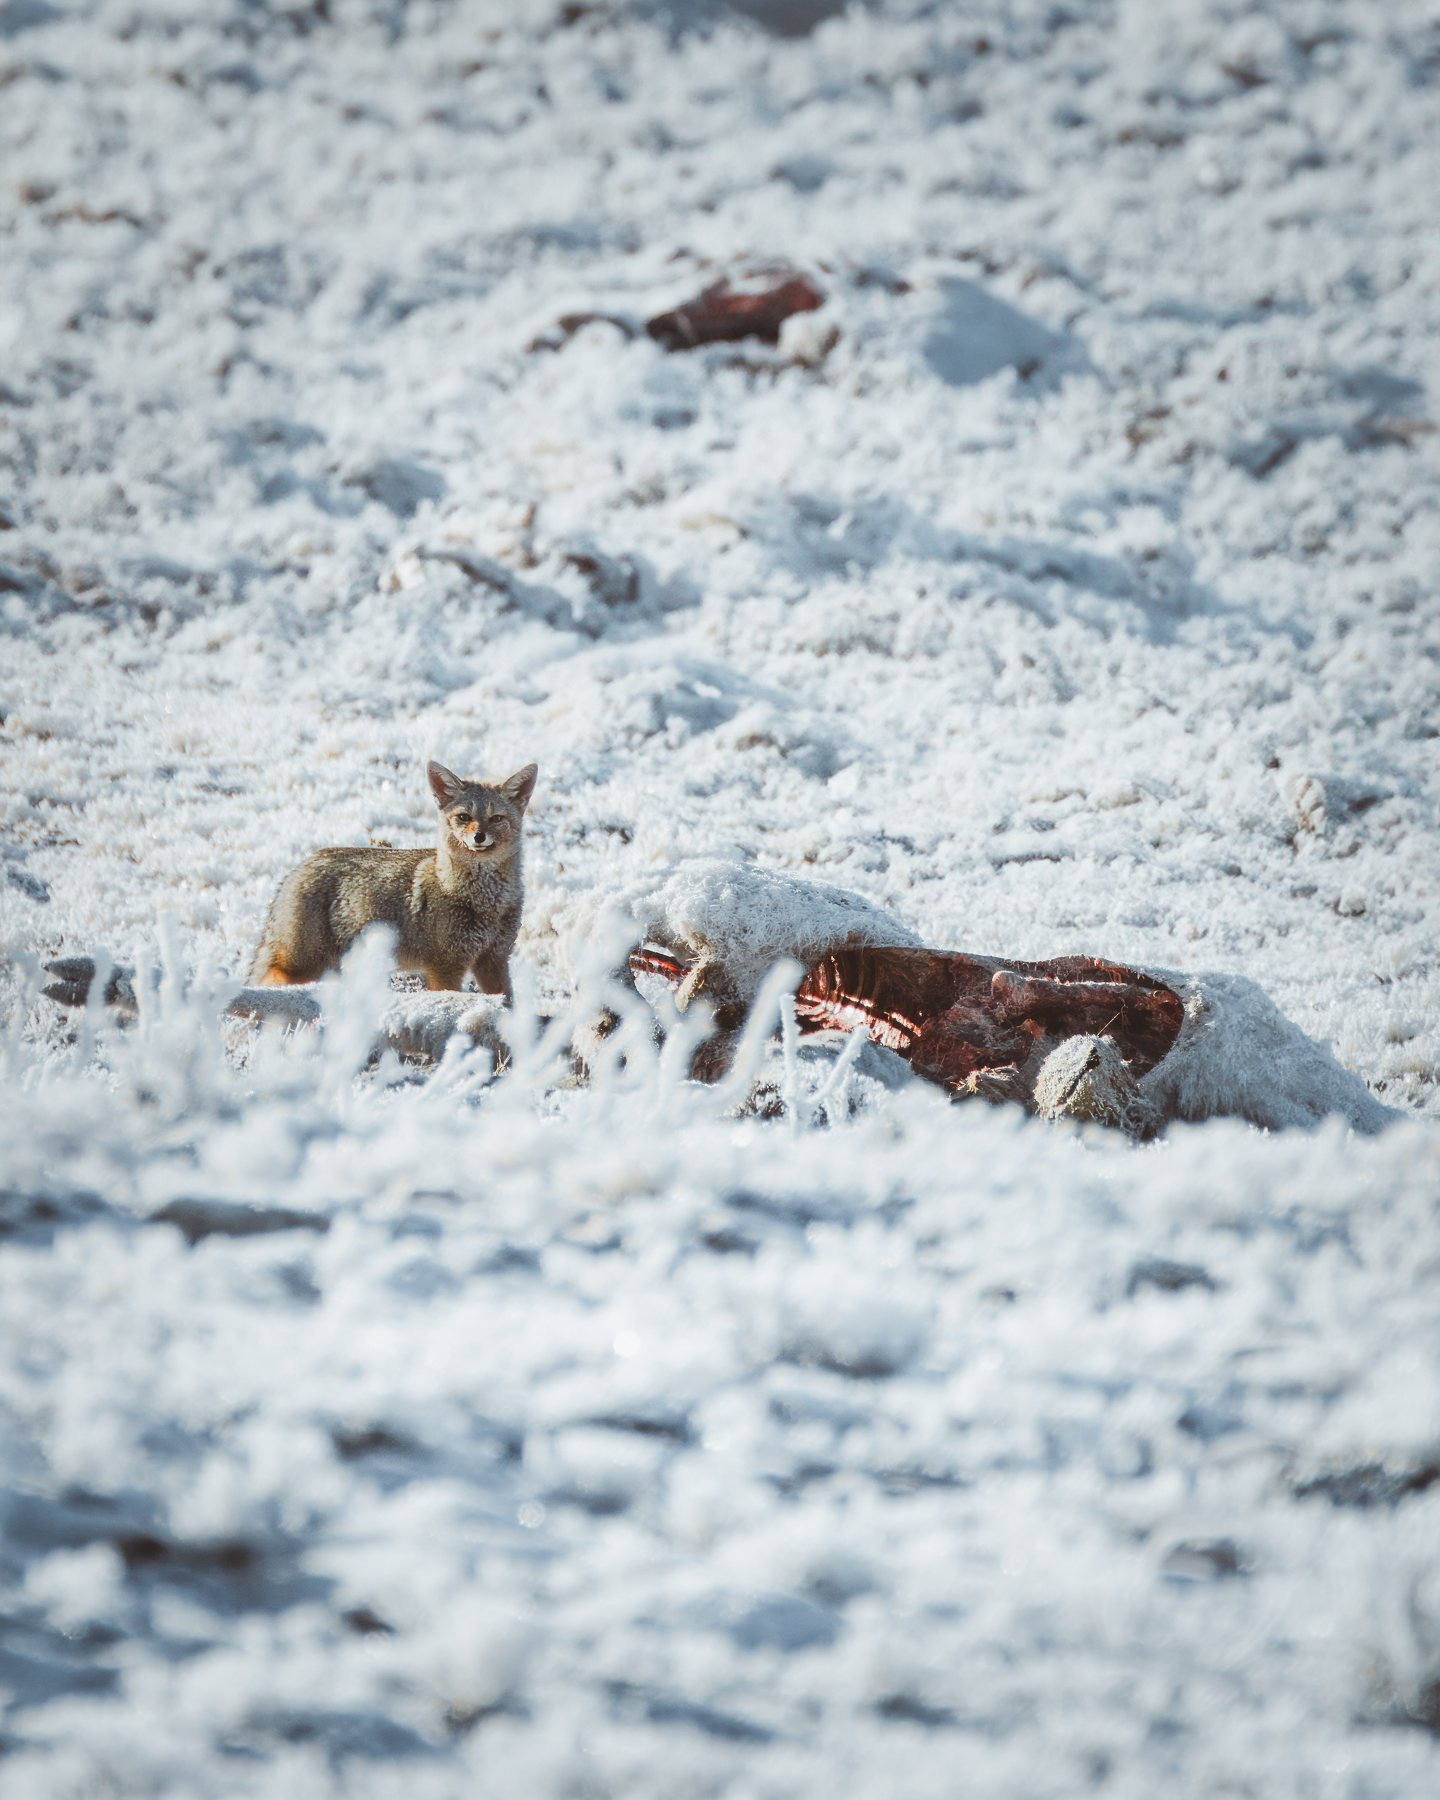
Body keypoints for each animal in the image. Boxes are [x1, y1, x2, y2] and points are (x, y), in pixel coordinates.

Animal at [249, 760, 538, 998]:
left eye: (496, 818)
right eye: (464, 817)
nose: (479, 837)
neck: (487, 900)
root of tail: (299, 867)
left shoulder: (494, 960)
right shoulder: (445, 967)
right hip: (301, 966)